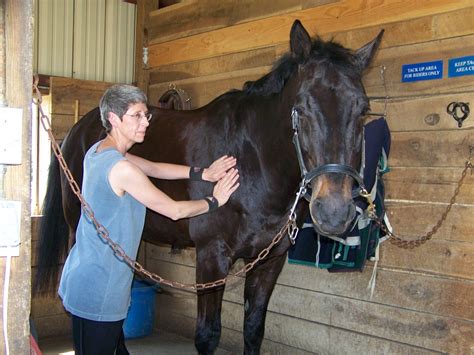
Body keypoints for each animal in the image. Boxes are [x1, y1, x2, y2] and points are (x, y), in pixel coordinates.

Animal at [37, 20, 384, 354]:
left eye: (363, 109)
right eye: (300, 108)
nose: (334, 212)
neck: (251, 163)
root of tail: (78, 131)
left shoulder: (270, 261)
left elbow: (253, 330)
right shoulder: (211, 257)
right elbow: (207, 335)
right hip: (80, 227)